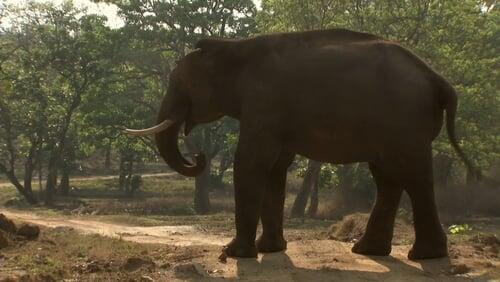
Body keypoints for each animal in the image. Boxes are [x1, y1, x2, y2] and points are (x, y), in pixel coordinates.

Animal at [125, 28, 476, 260]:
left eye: (180, 85)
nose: (197, 156)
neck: (235, 48)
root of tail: (439, 80)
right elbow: (276, 167)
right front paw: (269, 249)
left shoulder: (264, 103)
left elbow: (251, 162)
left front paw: (236, 253)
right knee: (387, 177)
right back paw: (368, 250)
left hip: (405, 121)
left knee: (412, 175)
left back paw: (423, 256)